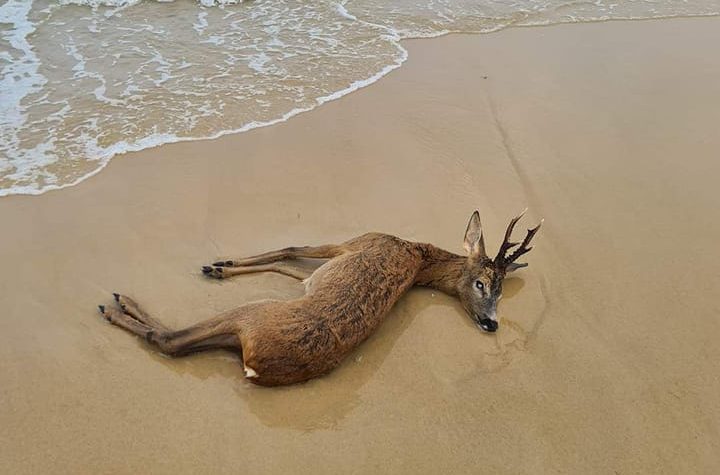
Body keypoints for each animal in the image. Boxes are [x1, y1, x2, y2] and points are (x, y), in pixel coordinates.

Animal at [100, 211, 540, 386]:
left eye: (498, 289)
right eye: (483, 284)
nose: (492, 323)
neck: (416, 252)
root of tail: (257, 364)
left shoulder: (352, 244)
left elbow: (291, 246)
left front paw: (220, 264)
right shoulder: (322, 269)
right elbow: (288, 265)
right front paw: (223, 265)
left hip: (252, 313)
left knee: (170, 340)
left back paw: (116, 305)